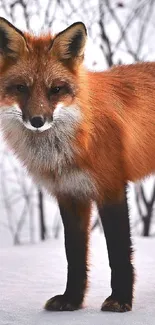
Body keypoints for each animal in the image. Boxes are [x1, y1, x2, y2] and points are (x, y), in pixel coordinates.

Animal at [0, 17, 154, 312]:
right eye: (21, 88)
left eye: (56, 89)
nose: (37, 121)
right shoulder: (70, 194)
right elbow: (74, 255)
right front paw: (71, 299)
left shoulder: (111, 188)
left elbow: (118, 252)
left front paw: (120, 300)